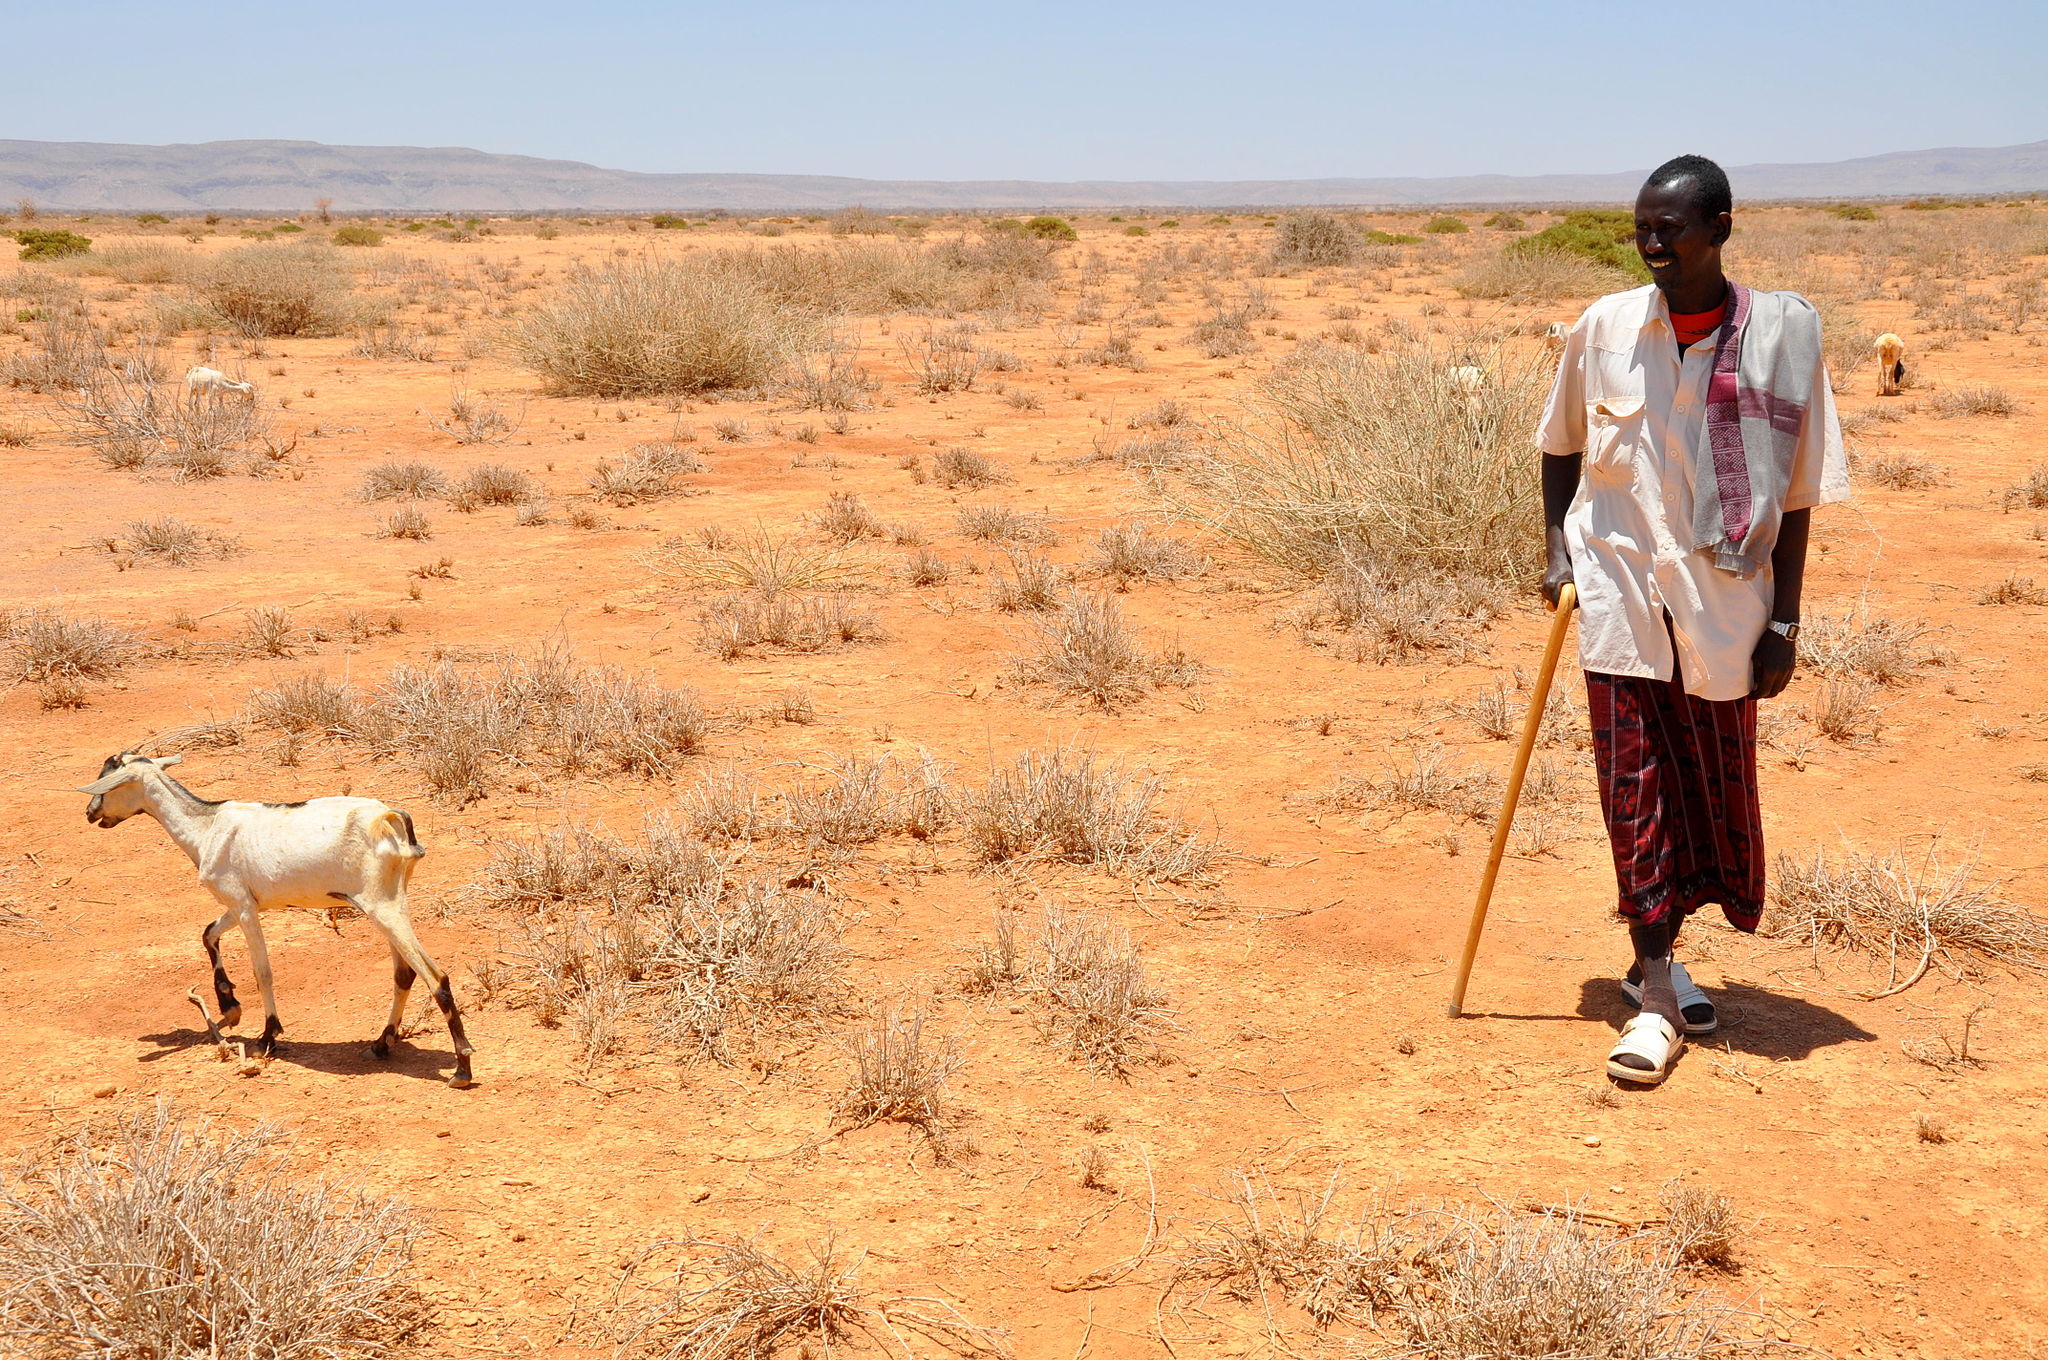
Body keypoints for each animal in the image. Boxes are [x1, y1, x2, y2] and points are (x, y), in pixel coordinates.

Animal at [77, 753, 473, 1081]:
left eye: (108, 782)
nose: (90, 813)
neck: (206, 827)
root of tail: (389, 817)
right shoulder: (242, 904)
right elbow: (208, 933)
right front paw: (230, 1005)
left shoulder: (243, 907)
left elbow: (262, 972)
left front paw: (268, 1035)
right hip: (389, 904)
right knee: (404, 974)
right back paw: (380, 1044)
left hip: (382, 907)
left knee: (436, 977)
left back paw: (462, 1067)